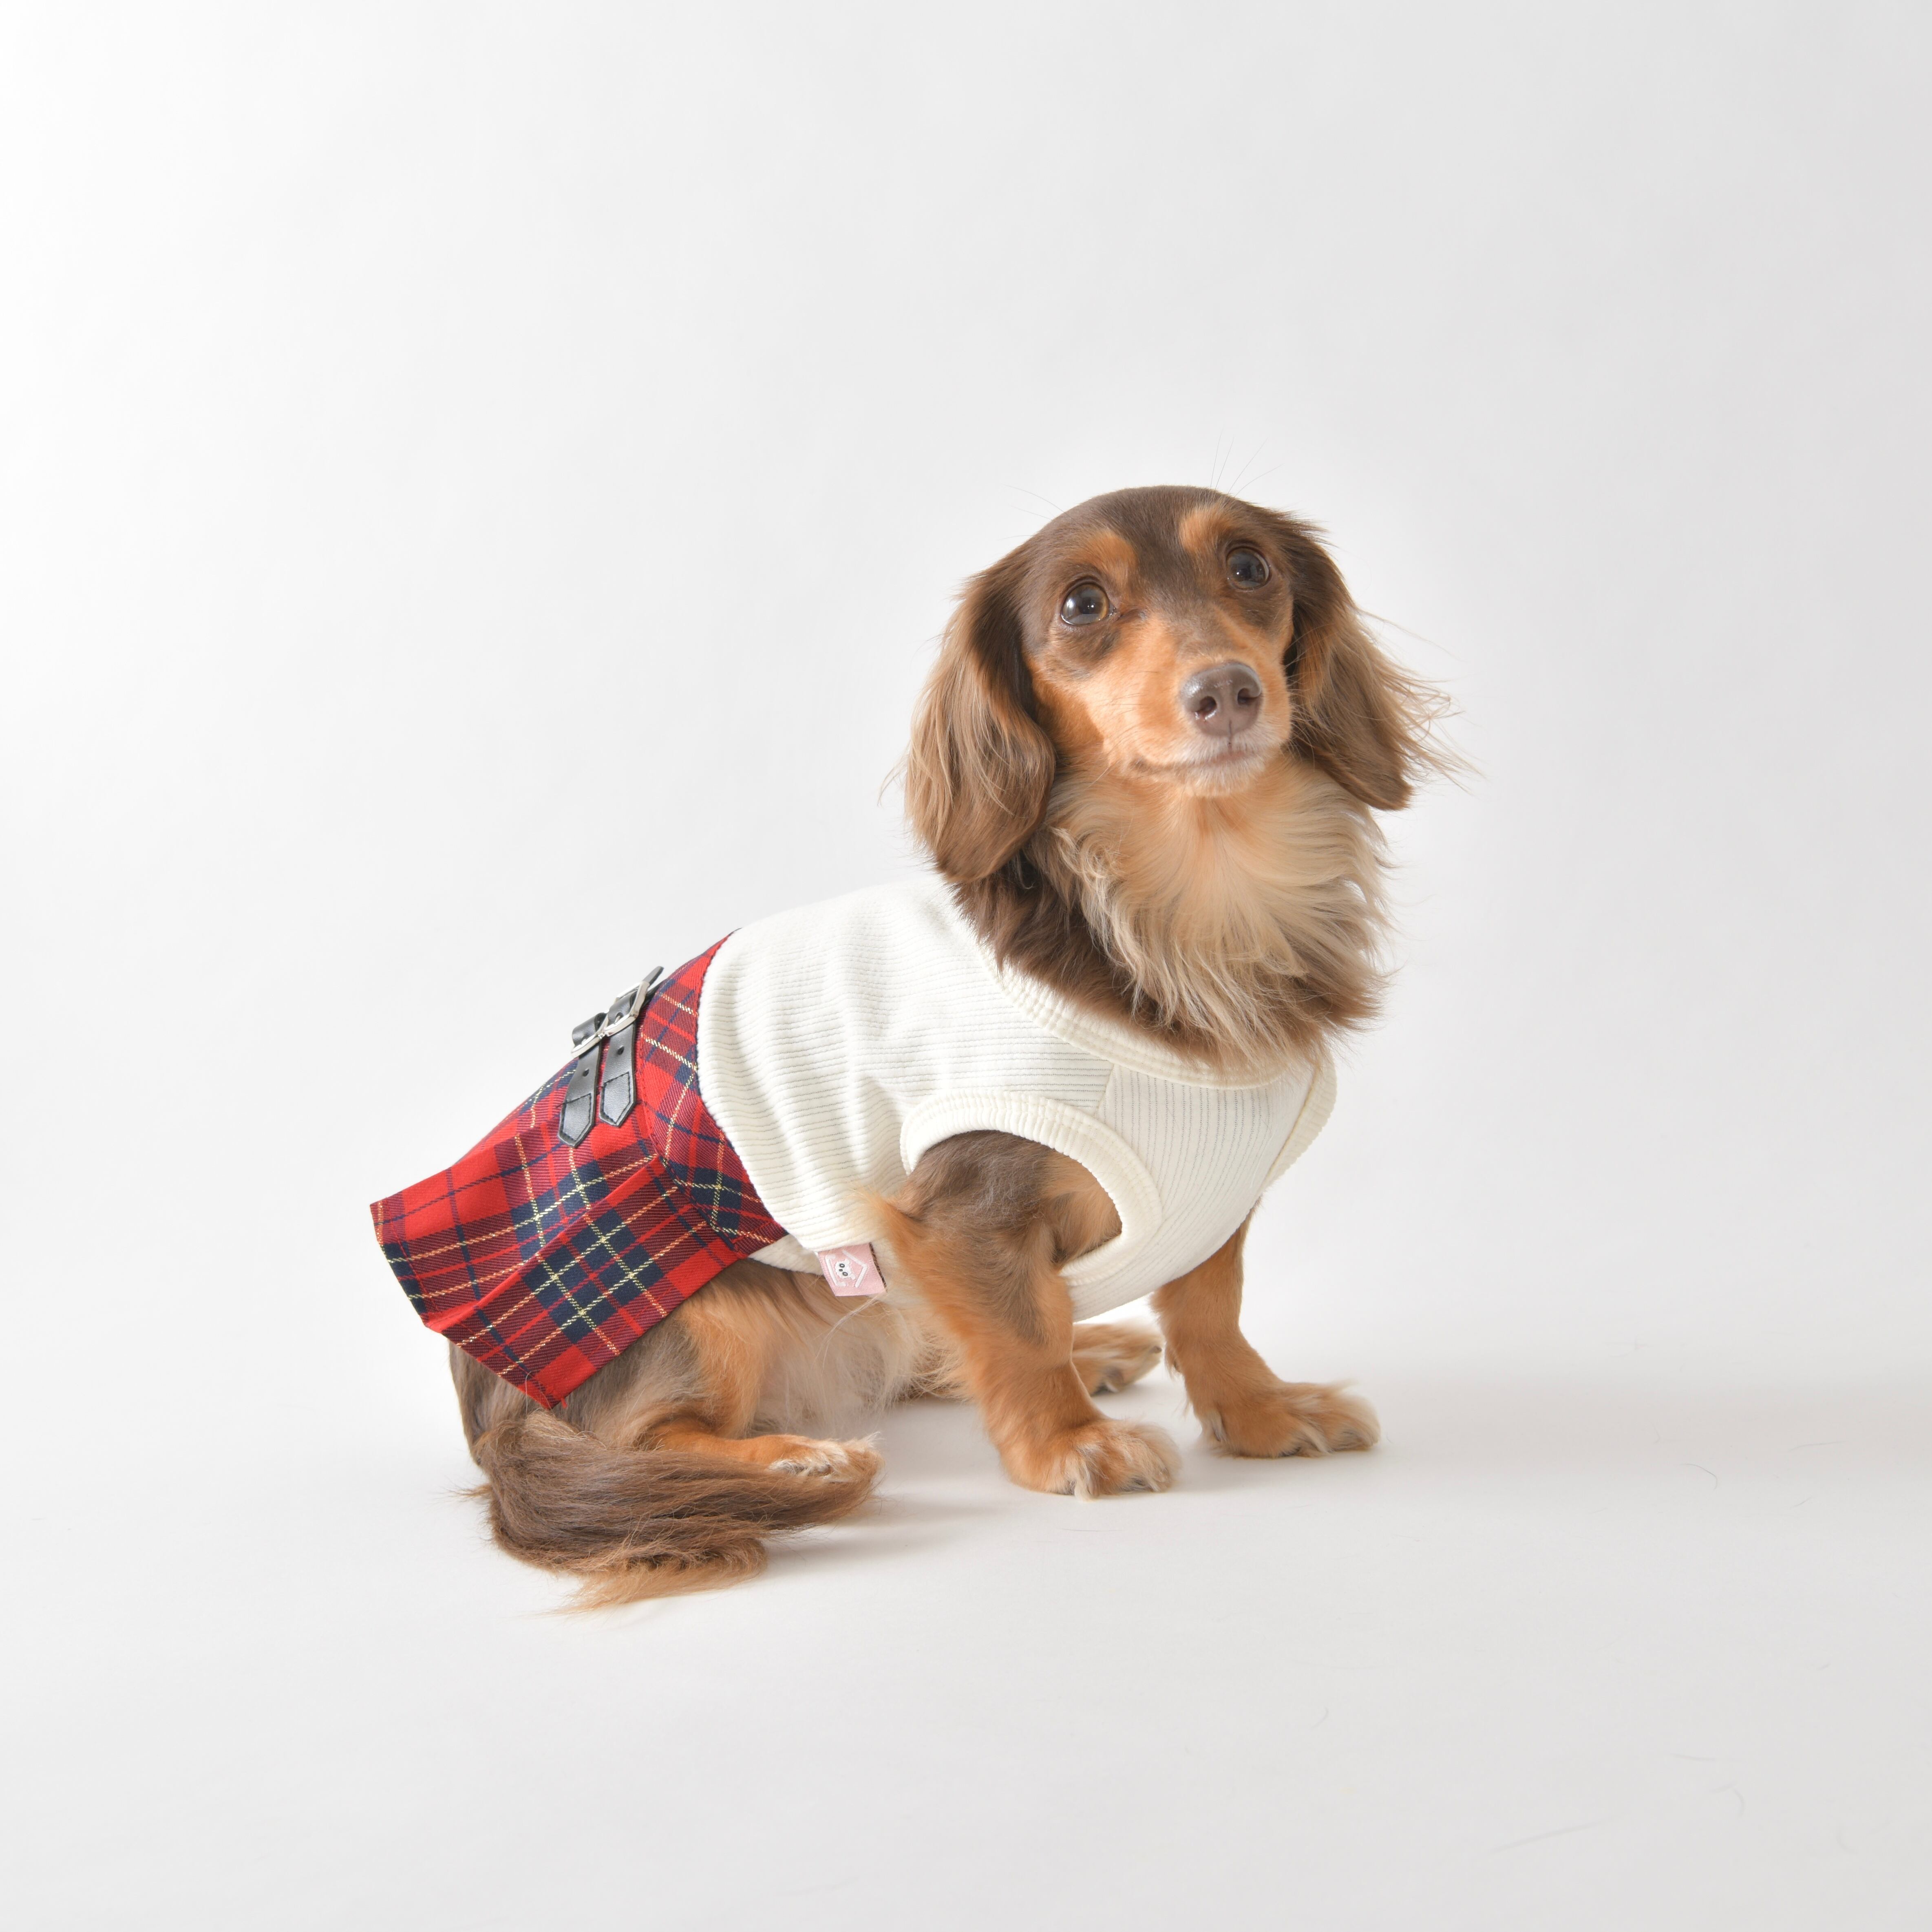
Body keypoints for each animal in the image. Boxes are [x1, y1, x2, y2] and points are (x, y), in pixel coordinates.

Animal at [389, 484, 1444, 1604]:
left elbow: (1211, 1308)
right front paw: (1068, 1441)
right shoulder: (960, 1203)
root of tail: (488, 1416)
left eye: (1250, 569)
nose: (1228, 692)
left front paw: (1260, 1411)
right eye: (1082, 603)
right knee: (648, 1437)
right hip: (702, 1303)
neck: (1189, 904)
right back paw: (788, 1459)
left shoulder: (1217, 1188)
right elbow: (1021, 1335)